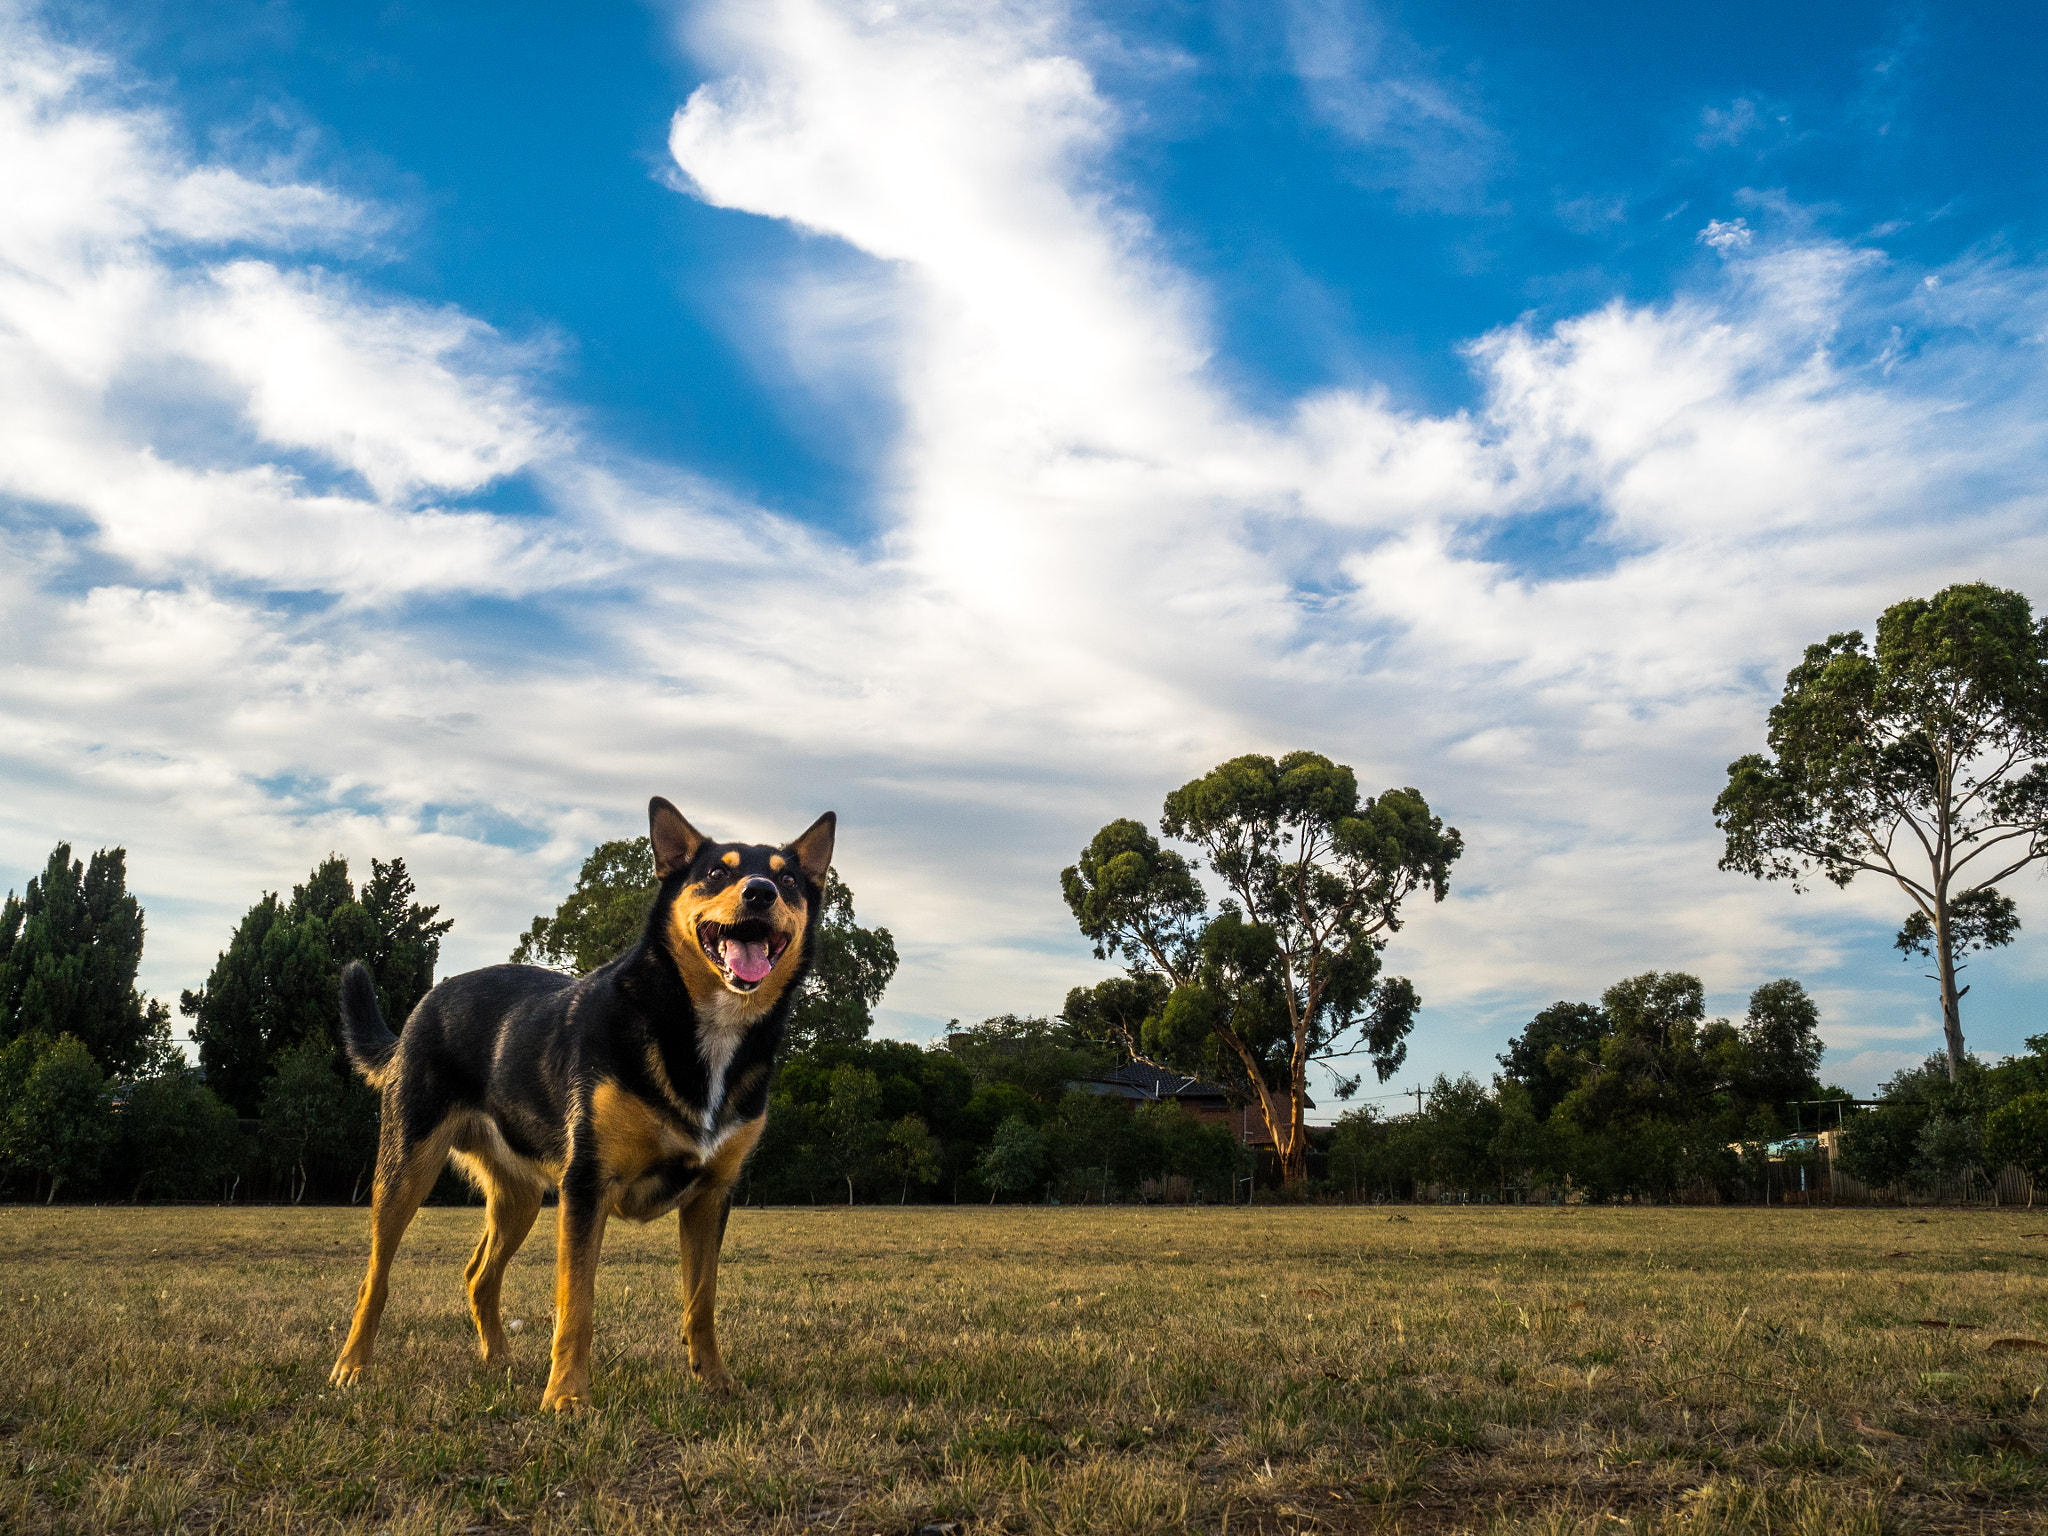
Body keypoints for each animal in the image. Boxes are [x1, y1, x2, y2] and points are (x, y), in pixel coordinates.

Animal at [323, 798, 827, 1417]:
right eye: (716, 872)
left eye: (788, 879)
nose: (760, 892)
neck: (700, 1027)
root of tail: (427, 1003)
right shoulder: (586, 1185)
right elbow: (576, 1306)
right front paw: (566, 1396)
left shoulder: (711, 1196)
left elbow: (701, 1302)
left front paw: (715, 1382)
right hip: (405, 1169)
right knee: (376, 1277)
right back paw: (352, 1366)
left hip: (519, 1197)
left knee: (478, 1276)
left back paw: (499, 1360)